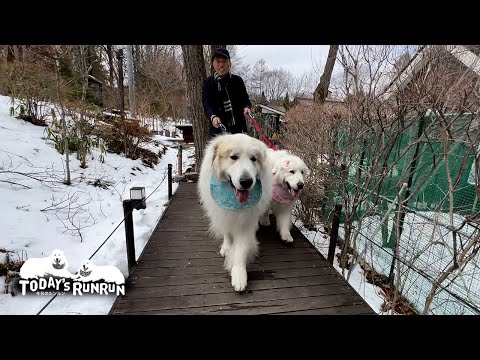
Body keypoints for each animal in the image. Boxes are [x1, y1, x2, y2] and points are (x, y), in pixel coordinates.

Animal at [197, 134, 272, 292]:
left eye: (253, 159)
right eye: (233, 157)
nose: (246, 181)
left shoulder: (246, 222)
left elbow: (241, 250)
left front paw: (239, 274)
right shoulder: (222, 213)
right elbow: (227, 232)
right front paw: (226, 246)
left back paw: (264, 219)